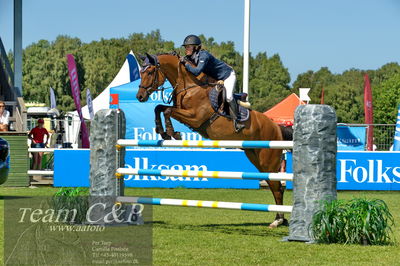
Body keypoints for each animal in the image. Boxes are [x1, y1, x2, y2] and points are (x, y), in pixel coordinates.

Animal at [138, 53, 290, 228]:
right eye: (140, 72)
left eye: (150, 72)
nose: (139, 96)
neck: (190, 86)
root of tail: (276, 126)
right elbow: (159, 108)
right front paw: (161, 131)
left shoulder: (194, 117)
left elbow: (168, 110)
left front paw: (171, 132)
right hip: (255, 156)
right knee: (274, 186)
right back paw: (280, 219)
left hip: (268, 160)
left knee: (277, 188)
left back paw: (278, 220)